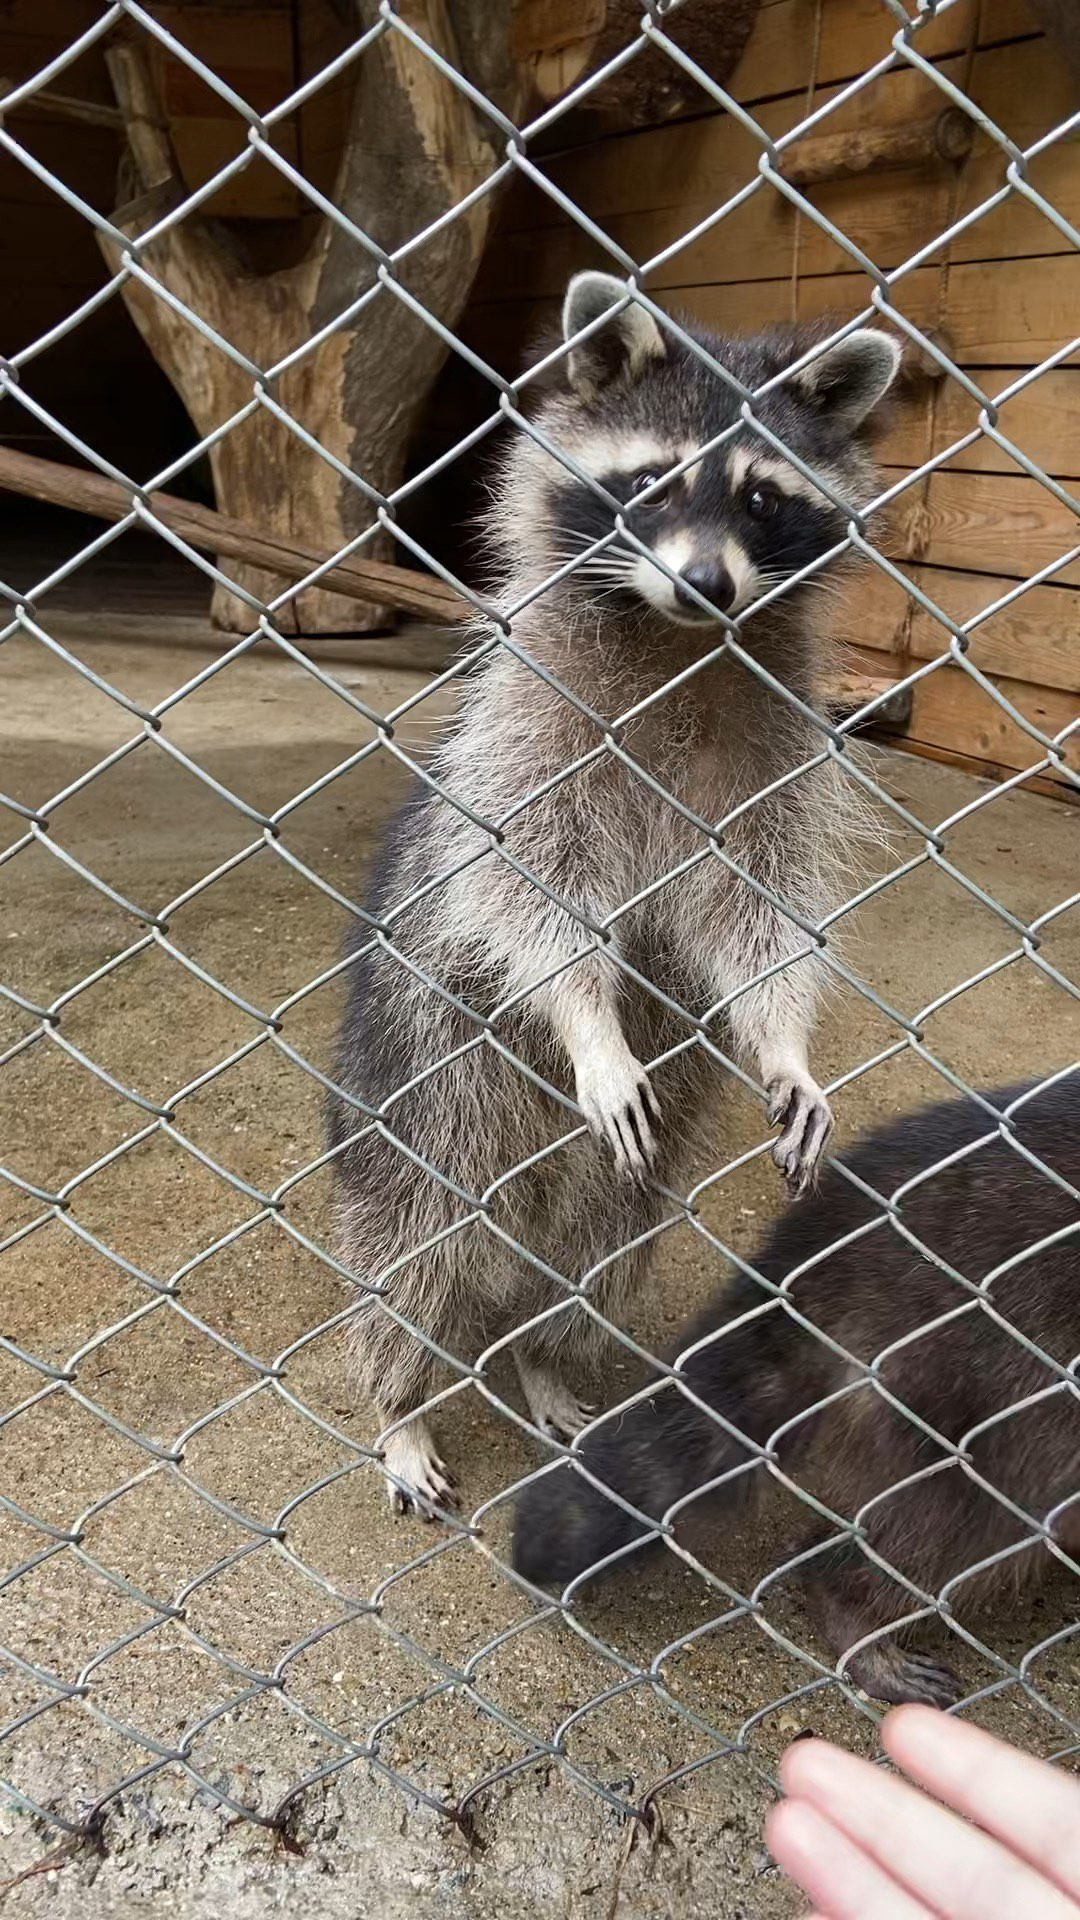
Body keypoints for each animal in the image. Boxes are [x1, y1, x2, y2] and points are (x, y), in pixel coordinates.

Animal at [330, 270, 899, 1512]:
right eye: (653, 483)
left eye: (763, 499)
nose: (705, 581)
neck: (676, 637)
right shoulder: (529, 727)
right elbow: (526, 884)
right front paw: (588, 1019)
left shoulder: (777, 750)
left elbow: (759, 905)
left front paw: (784, 1041)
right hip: (427, 1102)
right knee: (411, 1255)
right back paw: (400, 1401)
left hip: (611, 1198)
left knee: (591, 1266)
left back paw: (545, 1358)